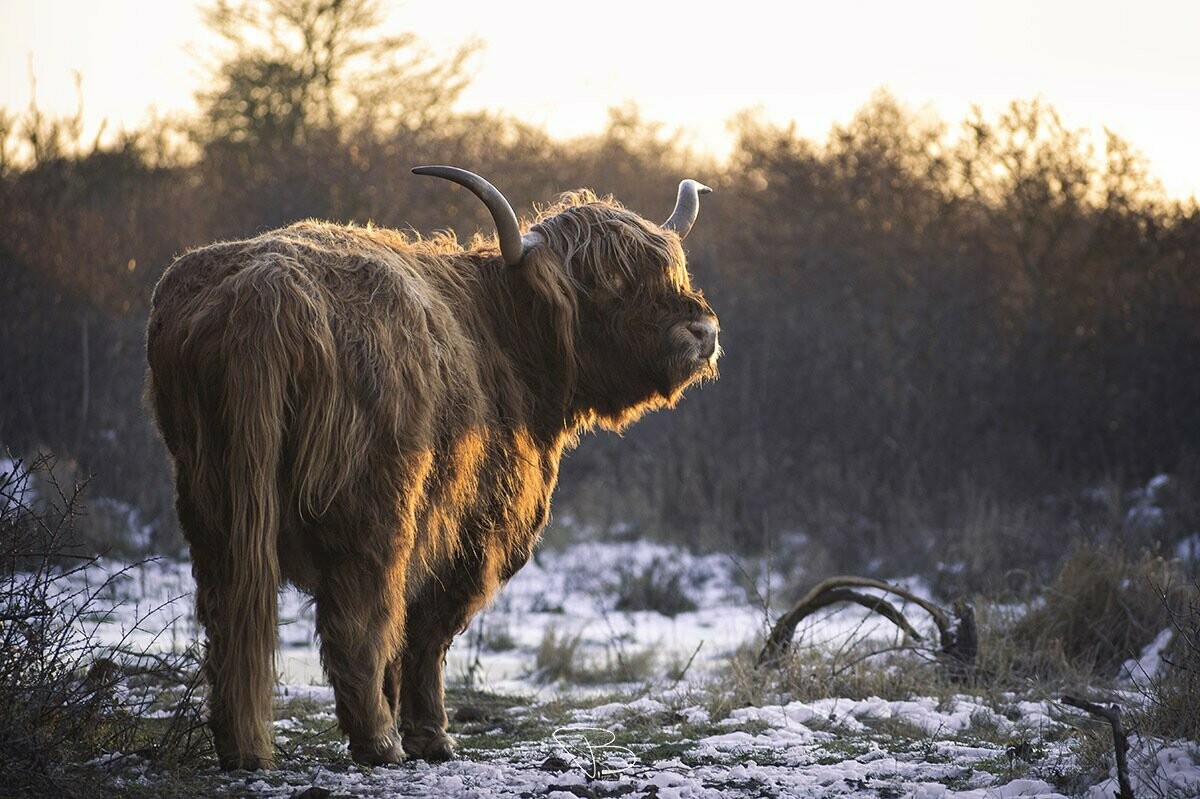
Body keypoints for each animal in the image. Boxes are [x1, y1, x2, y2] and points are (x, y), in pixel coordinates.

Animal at [145, 166, 715, 767]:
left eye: (670, 268)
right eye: (607, 282)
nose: (702, 331)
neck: (505, 333)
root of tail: (264, 290)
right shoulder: (471, 532)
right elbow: (426, 630)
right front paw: (431, 736)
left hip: (213, 501)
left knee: (227, 613)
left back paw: (242, 747)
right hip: (374, 514)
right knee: (358, 619)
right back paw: (378, 742)